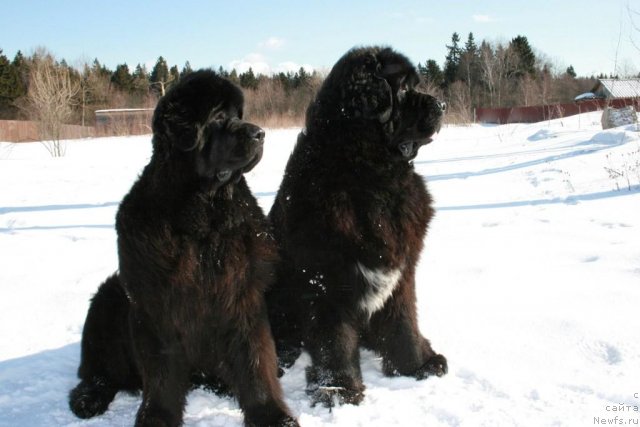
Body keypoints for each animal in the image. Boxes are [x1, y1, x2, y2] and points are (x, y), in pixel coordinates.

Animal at [69, 70, 298, 427]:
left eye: (238, 115)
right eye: (218, 117)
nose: (260, 133)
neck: (203, 214)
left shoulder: (242, 296)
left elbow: (256, 360)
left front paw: (272, 415)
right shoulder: (157, 305)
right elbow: (161, 375)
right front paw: (157, 418)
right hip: (108, 299)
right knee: (98, 372)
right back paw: (88, 397)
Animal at [268, 46, 448, 408]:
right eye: (403, 88)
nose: (442, 104)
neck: (372, 177)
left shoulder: (400, 273)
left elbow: (404, 322)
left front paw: (417, 365)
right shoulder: (326, 280)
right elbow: (335, 342)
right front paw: (339, 390)